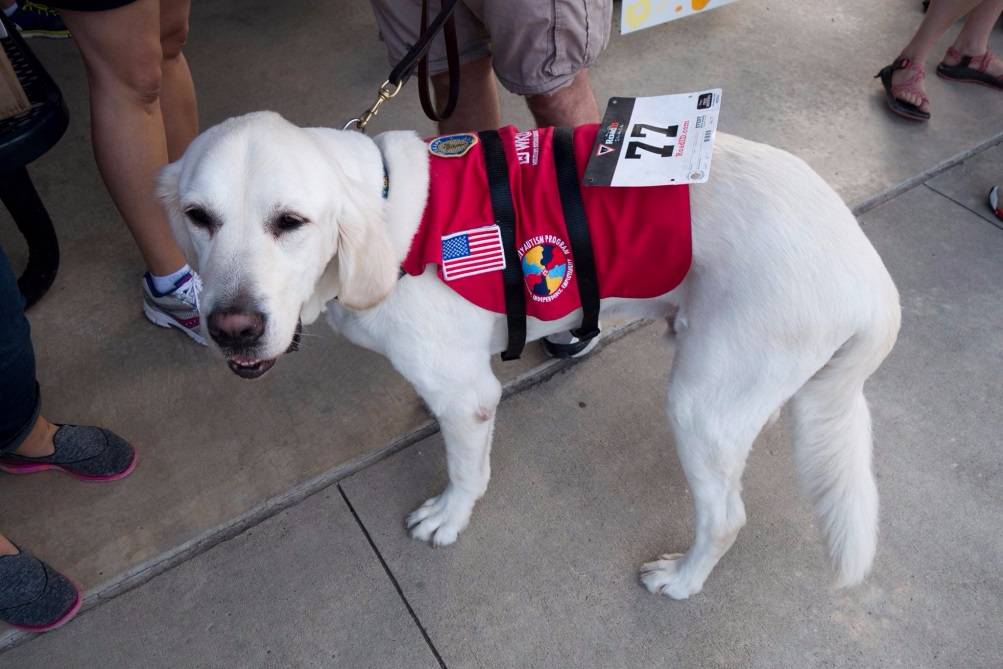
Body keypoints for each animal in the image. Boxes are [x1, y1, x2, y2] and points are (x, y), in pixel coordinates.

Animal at [158, 111, 900, 599]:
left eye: (290, 222)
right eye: (198, 217)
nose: (232, 329)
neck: (387, 217)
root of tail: (874, 284)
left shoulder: (469, 399)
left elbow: (465, 470)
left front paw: (448, 518)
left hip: (699, 405)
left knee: (724, 519)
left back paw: (682, 581)